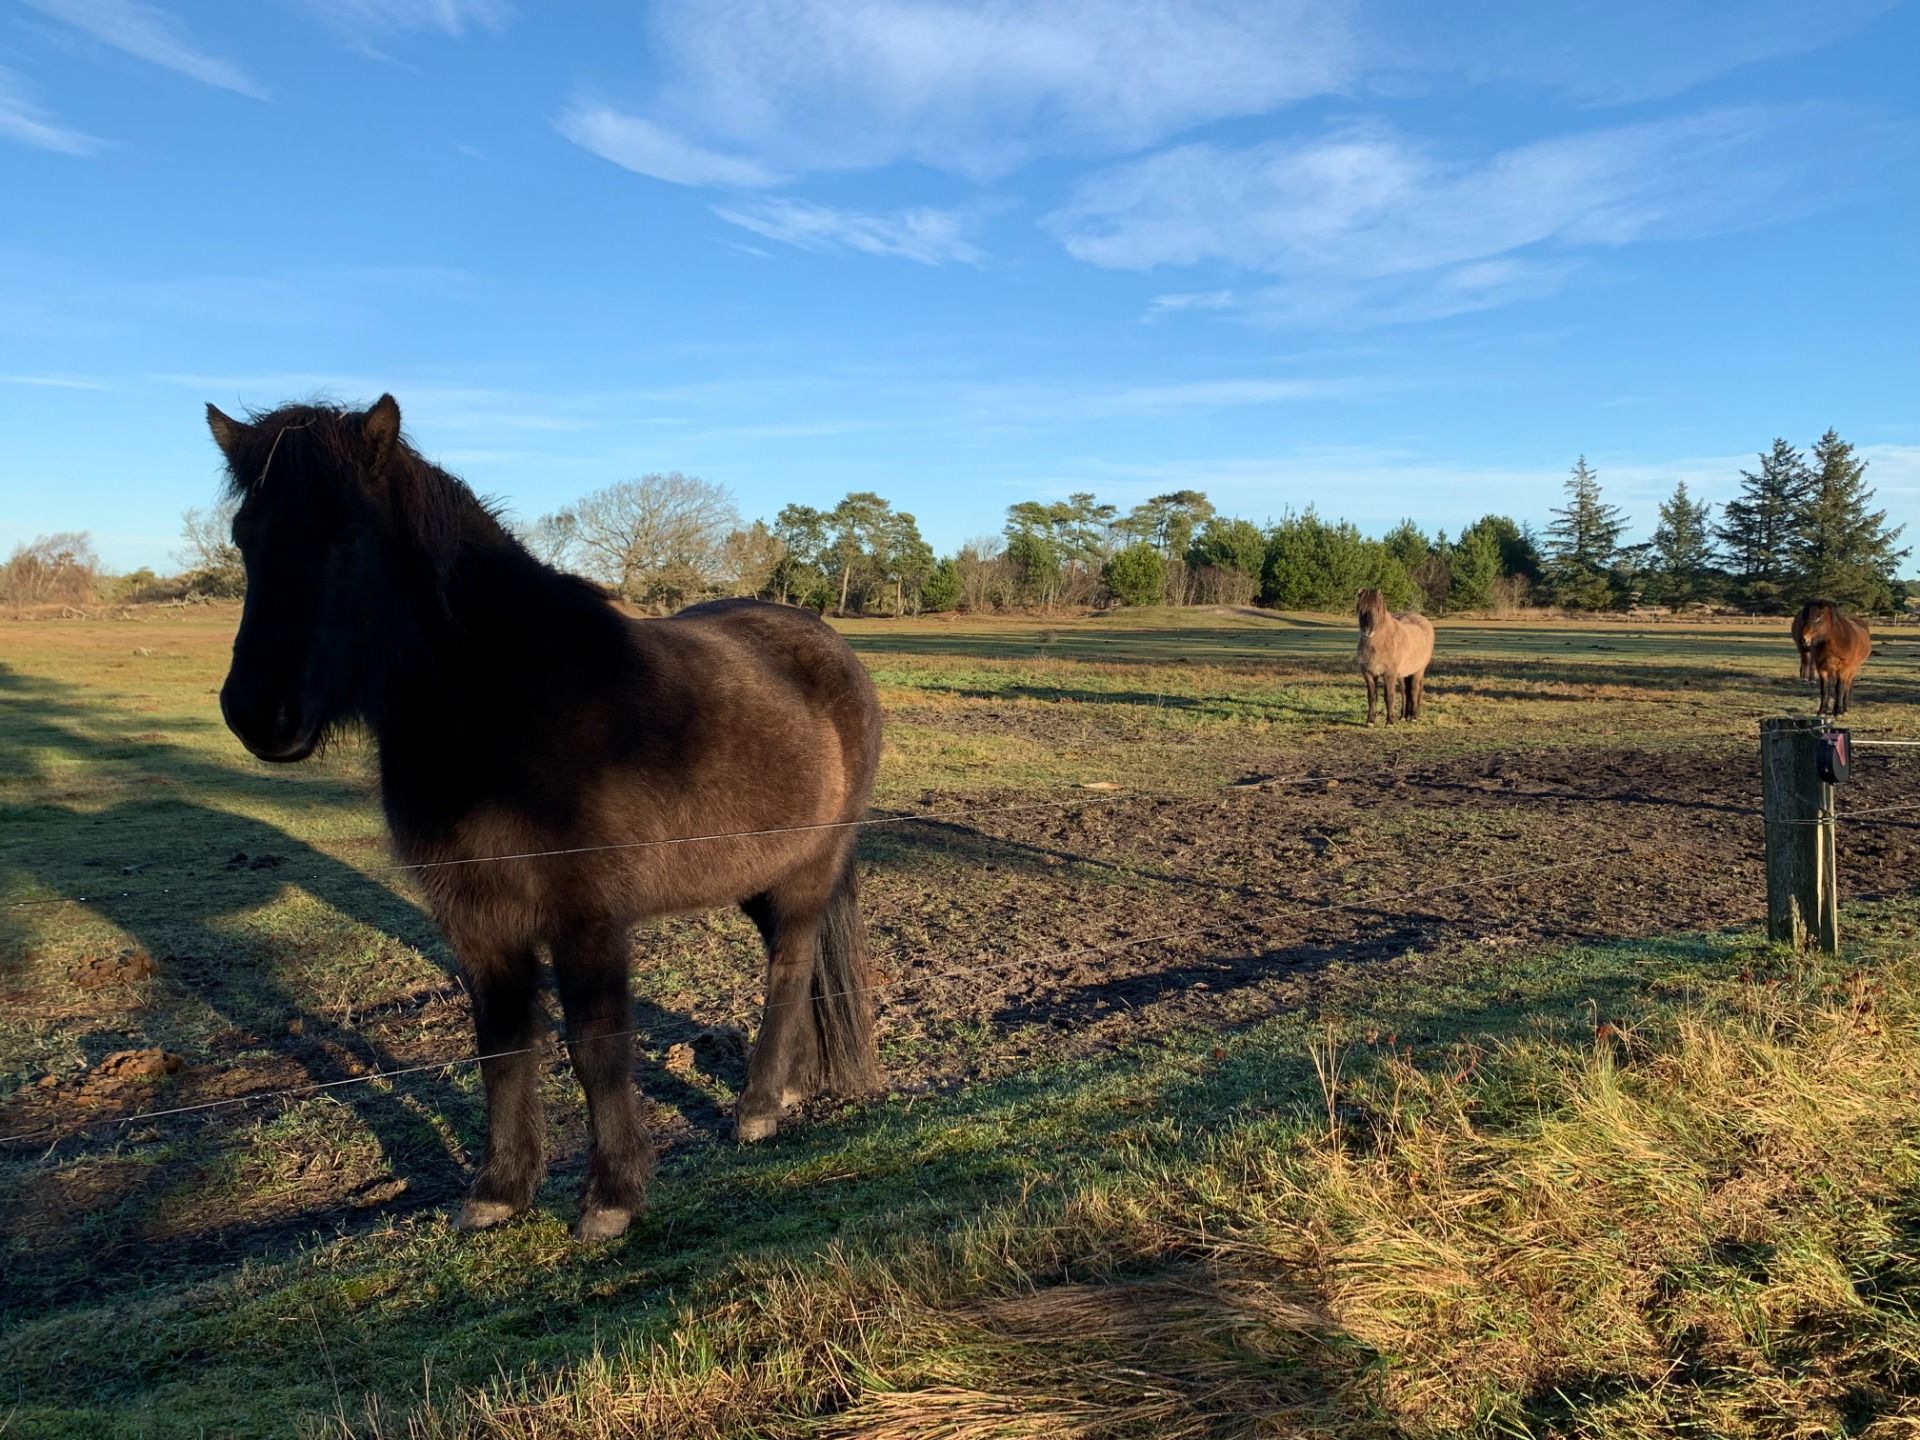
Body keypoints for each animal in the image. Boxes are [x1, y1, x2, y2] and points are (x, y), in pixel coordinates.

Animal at [204, 397, 883, 1251]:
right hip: (758, 876)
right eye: (245, 537)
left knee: (790, 971)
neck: (505, 707)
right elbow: (502, 1046)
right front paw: (499, 1190)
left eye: (347, 535)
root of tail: (828, 646)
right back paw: (791, 1088)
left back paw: (758, 1110)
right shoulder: (475, 918)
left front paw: (613, 1196)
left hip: (806, 874)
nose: (259, 713)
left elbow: (597, 1047)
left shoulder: (586, 917)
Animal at [1359, 583, 1436, 721]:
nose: (1368, 631)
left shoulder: (1390, 674)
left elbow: (1389, 696)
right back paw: (1404, 716)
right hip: (1404, 674)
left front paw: (1390, 721)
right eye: (1361, 608)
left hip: (1418, 671)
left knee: (1414, 690)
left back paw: (1413, 716)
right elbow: (1372, 696)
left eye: (1377, 609)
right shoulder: (1368, 673)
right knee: (1405, 692)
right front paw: (1370, 720)